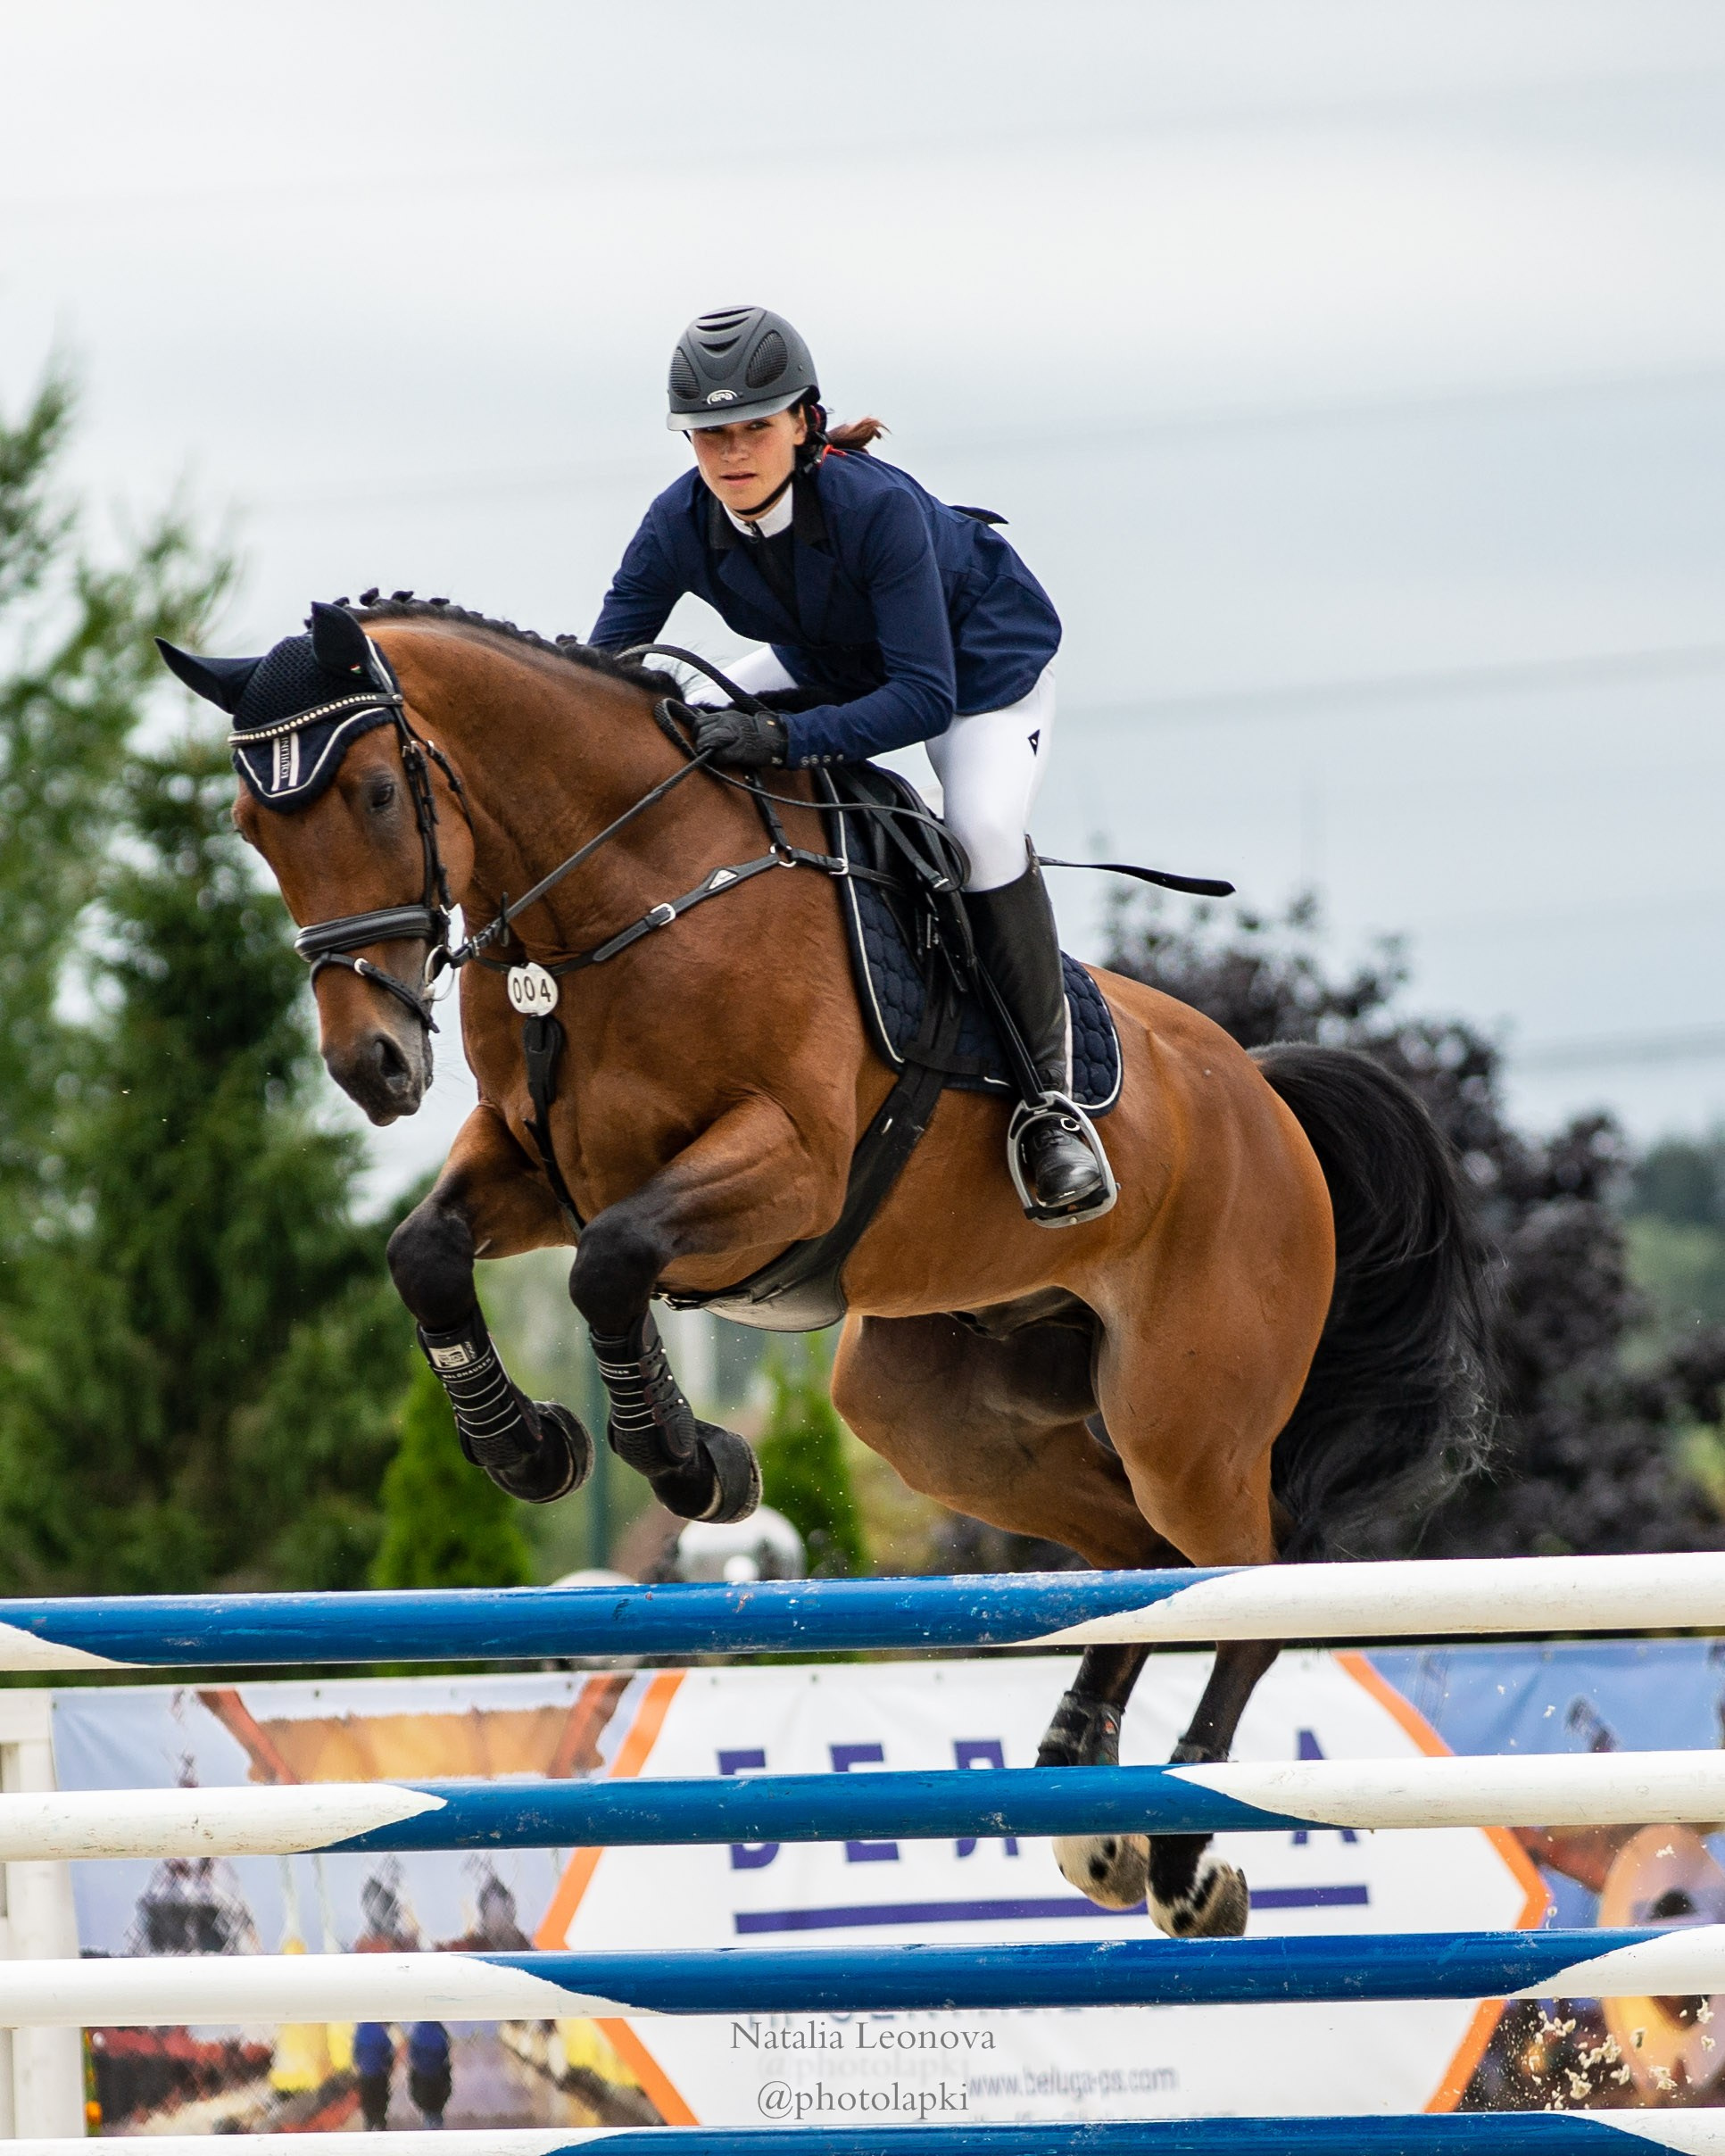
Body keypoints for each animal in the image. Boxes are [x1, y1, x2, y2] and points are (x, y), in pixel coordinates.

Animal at [159, 596, 1488, 1940]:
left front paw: (695, 1463)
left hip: (1184, 1422)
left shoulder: (783, 1169)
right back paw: (1091, 1808)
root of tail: (1264, 1096)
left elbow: (611, 1264)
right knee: (1144, 1562)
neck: (615, 905)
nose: (371, 1066)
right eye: (252, 829)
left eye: (379, 794)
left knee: (1252, 1585)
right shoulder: (533, 1162)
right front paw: (530, 1447)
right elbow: (425, 1251)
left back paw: (1177, 1856)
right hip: (937, 1417)